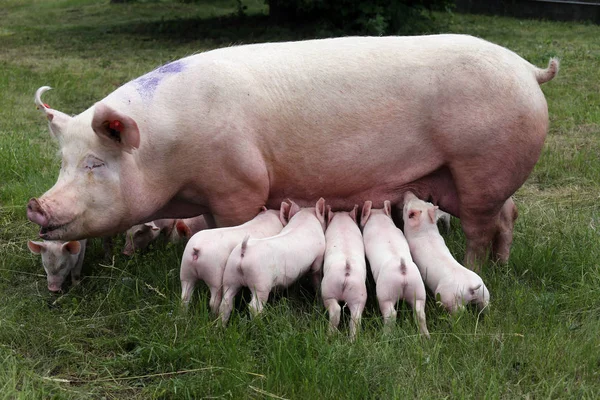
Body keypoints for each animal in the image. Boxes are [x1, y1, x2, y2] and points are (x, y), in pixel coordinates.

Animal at [28, 35, 556, 268]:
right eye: (63, 163)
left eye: (96, 163)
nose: (36, 206)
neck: (168, 154)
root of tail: (529, 69)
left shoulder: (239, 183)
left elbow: (230, 226)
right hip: (469, 179)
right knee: (506, 214)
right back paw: (501, 267)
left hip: (480, 163)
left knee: (482, 225)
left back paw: (477, 267)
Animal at [219, 198, 326, 326]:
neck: (304, 219)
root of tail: (244, 249)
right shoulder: (318, 257)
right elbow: (316, 275)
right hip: (260, 283)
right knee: (254, 306)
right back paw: (259, 326)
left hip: (230, 275)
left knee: (225, 302)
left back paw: (221, 327)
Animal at [322, 206, 368, 340]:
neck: (342, 220)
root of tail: (346, 270)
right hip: (359, 294)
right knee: (355, 318)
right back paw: (352, 340)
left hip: (327, 289)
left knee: (335, 309)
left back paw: (330, 336)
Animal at [360, 202, 426, 336]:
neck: (379, 219)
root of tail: (402, 268)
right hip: (418, 289)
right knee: (420, 312)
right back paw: (426, 337)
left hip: (385, 293)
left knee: (391, 314)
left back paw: (385, 336)